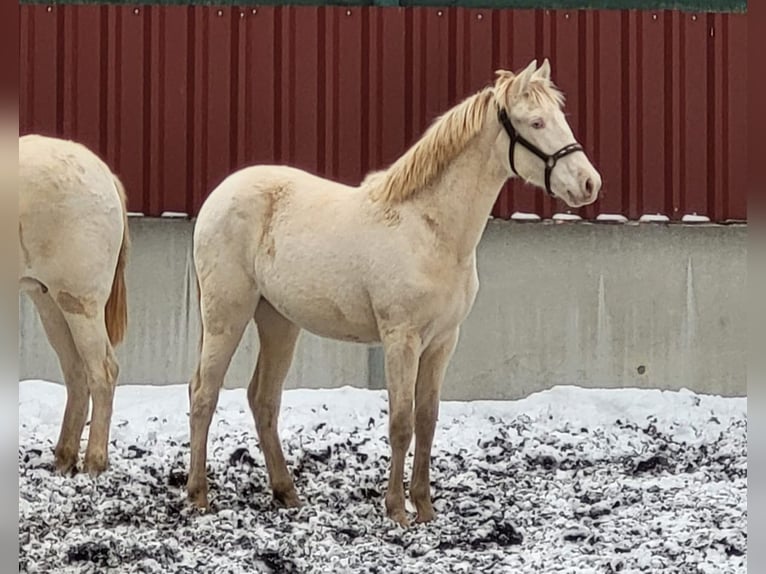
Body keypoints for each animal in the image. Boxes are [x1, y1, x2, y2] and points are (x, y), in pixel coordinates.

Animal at [18, 135, 130, 476]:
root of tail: (106, 175)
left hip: (80, 303)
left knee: (102, 373)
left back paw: (94, 461)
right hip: (51, 303)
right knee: (77, 374)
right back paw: (64, 458)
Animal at [189, 58, 604, 528]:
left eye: (560, 117)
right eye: (536, 122)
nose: (589, 183)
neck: (430, 228)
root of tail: (218, 197)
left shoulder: (442, 341)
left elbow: (427, 419)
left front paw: (424, 506)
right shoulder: (400, 339)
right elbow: (401, 422)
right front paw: (397, 510)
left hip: (278, 321)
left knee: (263, 399)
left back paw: (287, 493)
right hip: (226, 316)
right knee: (204, 394)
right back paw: (198, 495)